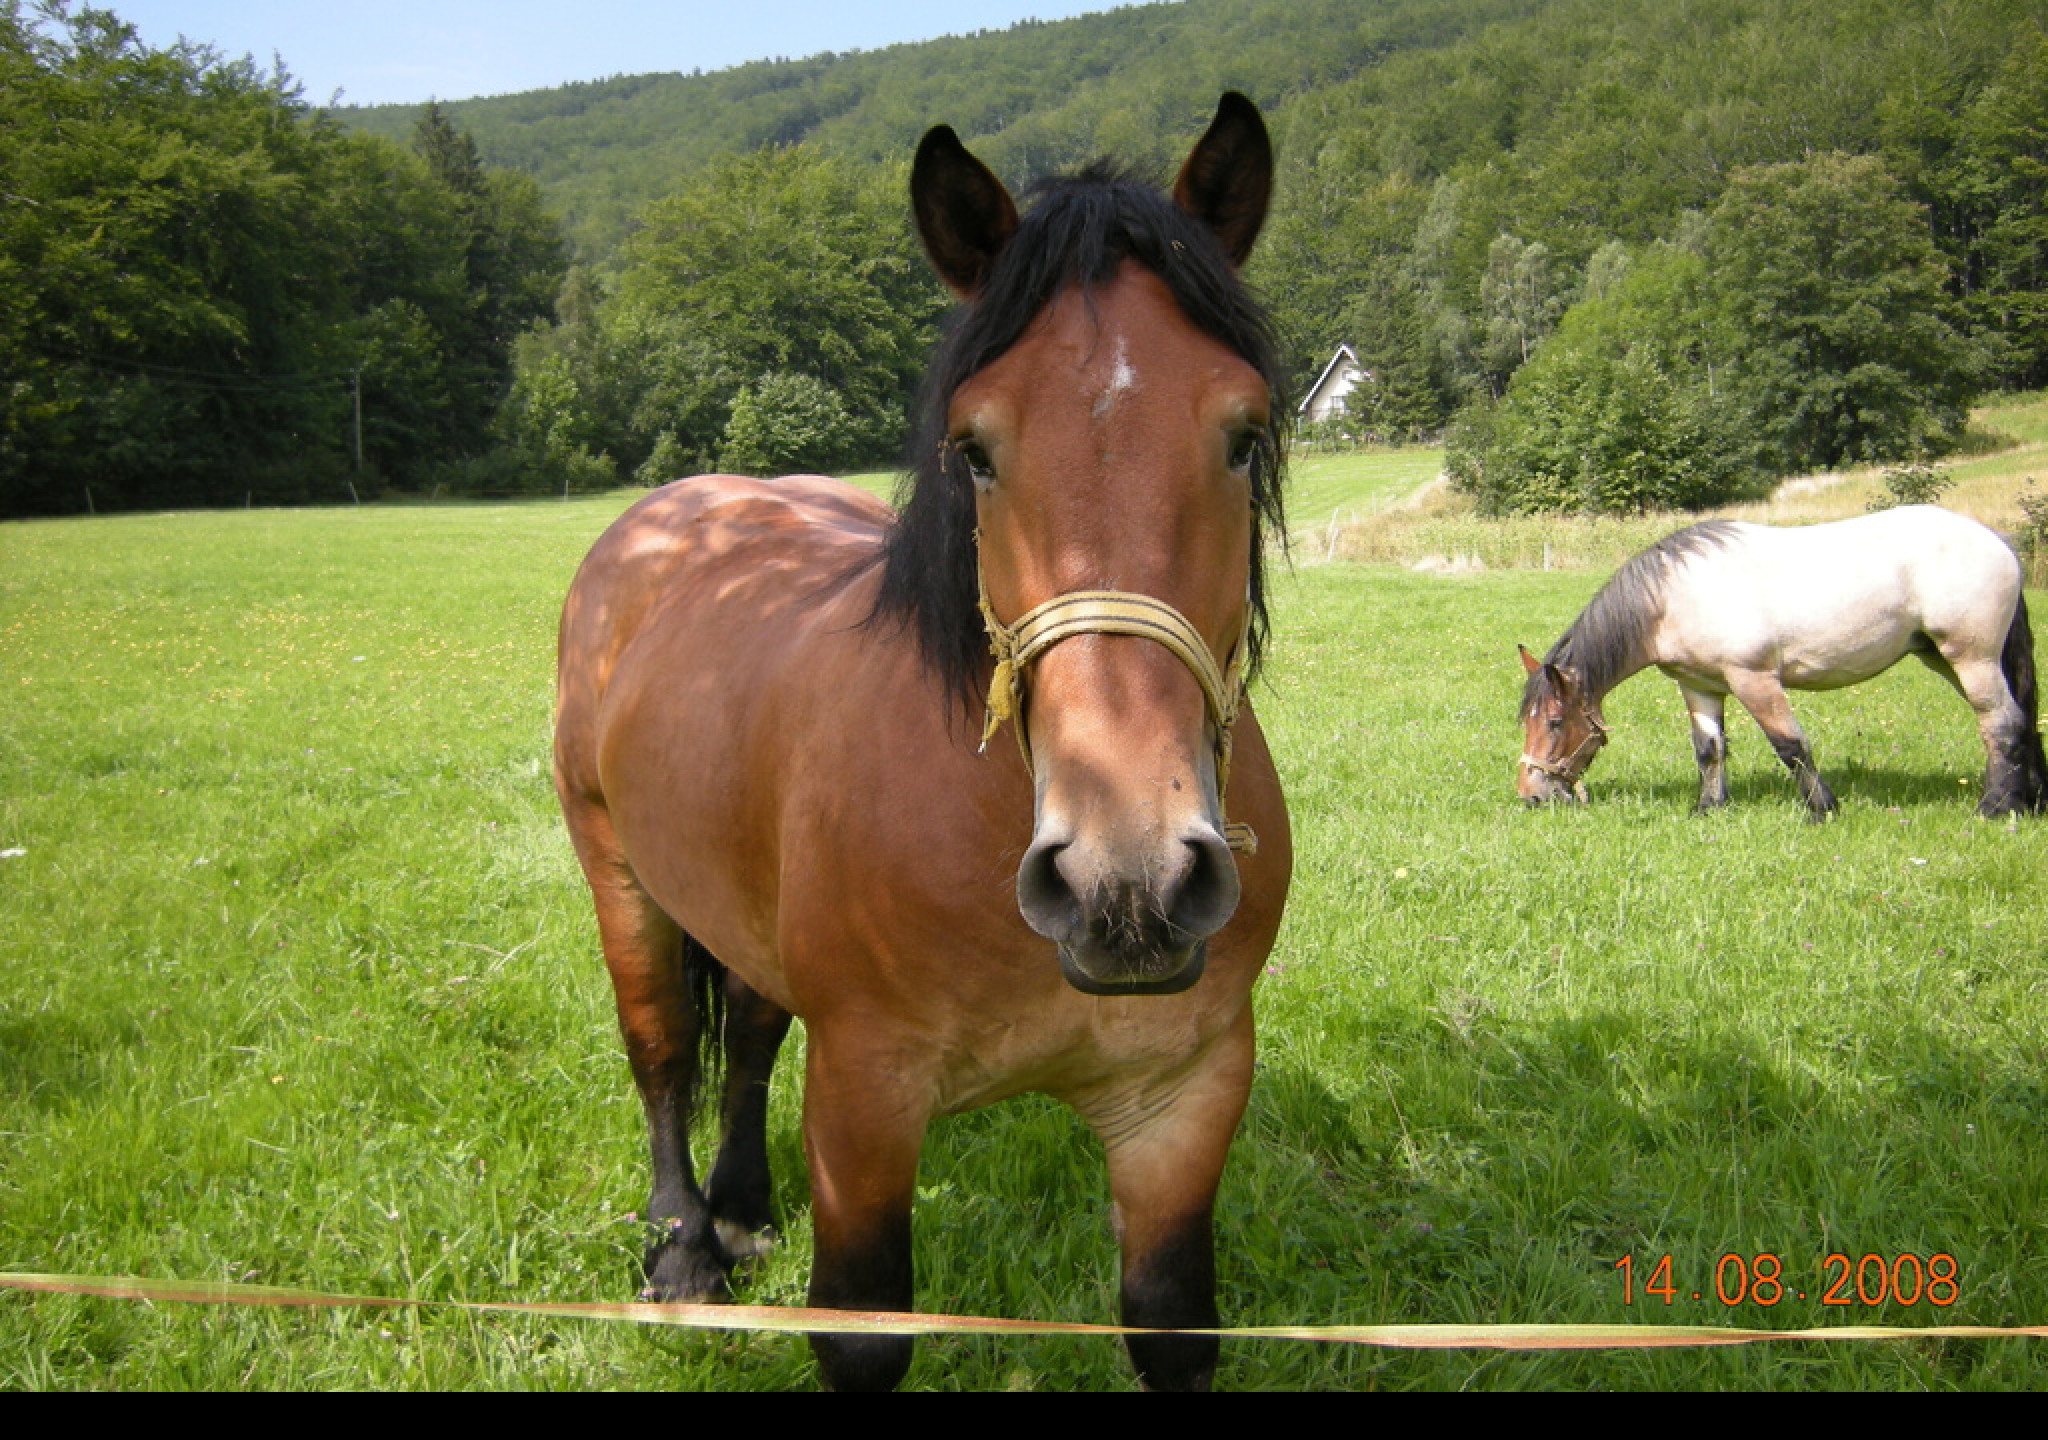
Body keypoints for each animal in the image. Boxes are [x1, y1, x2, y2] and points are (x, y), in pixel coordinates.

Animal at [557, 95, 1294, 1392]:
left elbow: (1169, 1322)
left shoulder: (1183, 1095)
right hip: (619, 878)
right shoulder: (864, 1106)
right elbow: (861, 1332)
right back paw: (684, 1247)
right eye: (975, 448)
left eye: (1243, 433)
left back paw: (741, 1210)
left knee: (750, 1032)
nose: (1127, 879)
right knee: (661, 1052)